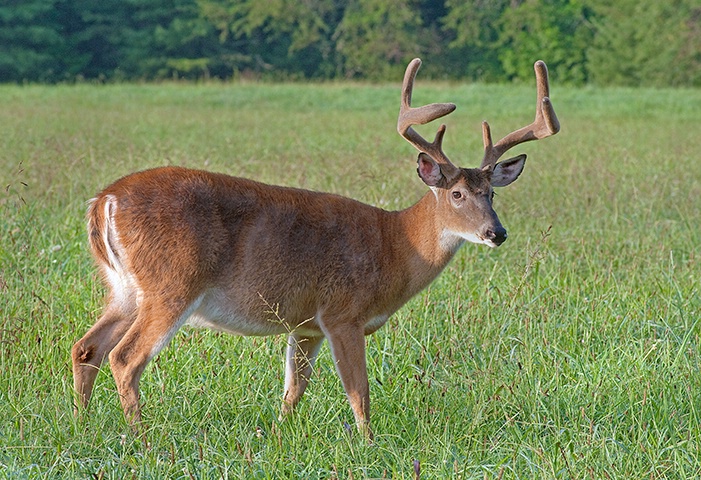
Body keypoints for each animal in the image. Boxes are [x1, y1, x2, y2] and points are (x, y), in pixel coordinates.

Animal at [72, 57, 556, 438]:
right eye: (457, 194)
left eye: (491, 193)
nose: (496, 232)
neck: (395, 244)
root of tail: (105, 200)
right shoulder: (342, 312)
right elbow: (358, 390)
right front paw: (369, 444)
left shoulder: (305, 325)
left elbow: (293, 389)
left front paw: (279, 435)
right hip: (171, 282)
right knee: (125, 358)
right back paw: (141, 436)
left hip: (124, 288)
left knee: (87, 347)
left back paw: (82, 424)